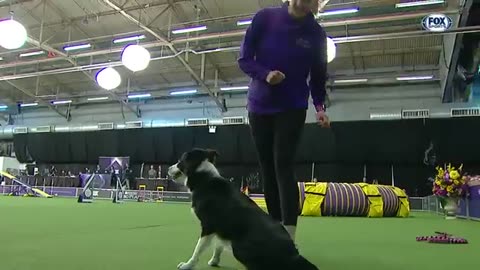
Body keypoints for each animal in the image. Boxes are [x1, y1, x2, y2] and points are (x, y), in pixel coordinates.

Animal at [167, 149, 316, 268]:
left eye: (180, 161)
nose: (168, 168)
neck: (204, 178)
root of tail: (293, 253)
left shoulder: (208, 226)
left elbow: (198, 249)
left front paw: (187, 265)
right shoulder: (220, 226)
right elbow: (218, 245)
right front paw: (214, 261)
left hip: (238, 247)